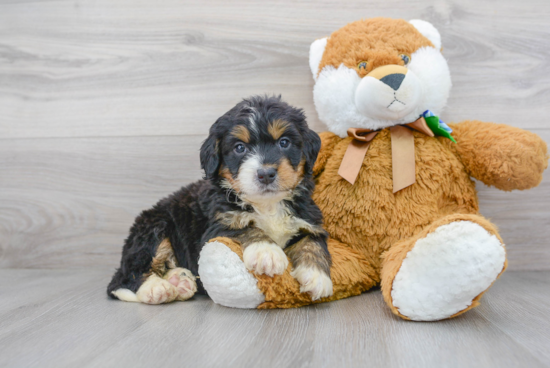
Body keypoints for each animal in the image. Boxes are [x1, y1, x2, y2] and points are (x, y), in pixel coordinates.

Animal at [106, 95, 334, 304]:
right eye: (240, 147)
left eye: (284, 143)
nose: (266, 174)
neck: (266, 204)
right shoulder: (216, 226)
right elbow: (246, 227)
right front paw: (266, 252)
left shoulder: (308, 220)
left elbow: (313, 242)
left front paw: (317, 277)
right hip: (154, 228)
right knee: (126, 277)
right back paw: (156, 288)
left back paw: (180, 282)